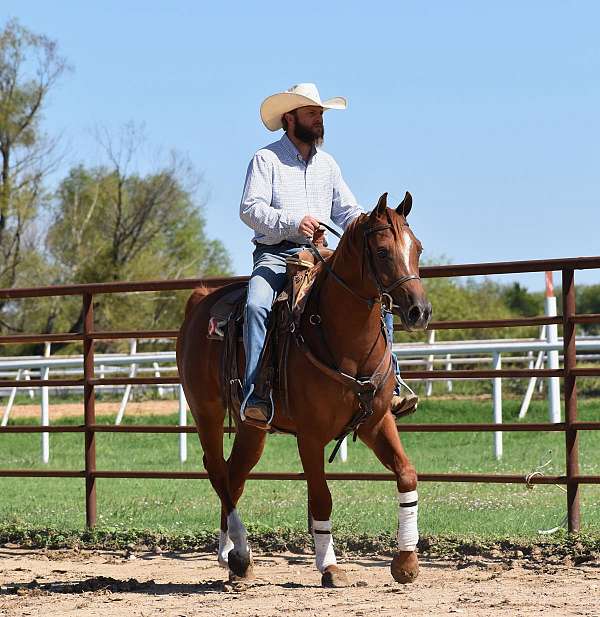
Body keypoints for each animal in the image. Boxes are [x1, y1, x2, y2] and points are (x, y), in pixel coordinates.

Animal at [175, 192, 432, 588]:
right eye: (383, 251)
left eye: (417, 247)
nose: (420, 310)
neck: (342, 339)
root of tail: (199, 301)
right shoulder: (310, 436)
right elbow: (321, 498)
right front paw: (330, 567)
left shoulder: (376, 422)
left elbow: (406, 473)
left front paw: (405, 562)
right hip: (206, 411)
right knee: (217, 469)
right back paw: (241, 552)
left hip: (253, 427)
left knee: (234, 474)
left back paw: (231, 557)